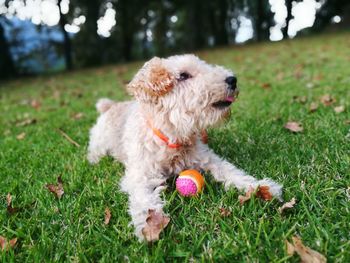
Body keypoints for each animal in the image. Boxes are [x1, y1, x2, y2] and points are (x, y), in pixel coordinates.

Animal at [87, 54, 282, 242]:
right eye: (183, 75)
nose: (232, 79)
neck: (173, 138)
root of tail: (109, 106)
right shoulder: (140, 175)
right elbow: (143, 200)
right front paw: (149, 226)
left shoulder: (208, 158)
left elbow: (231, 172)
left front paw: (262, 188)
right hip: (99, 142)